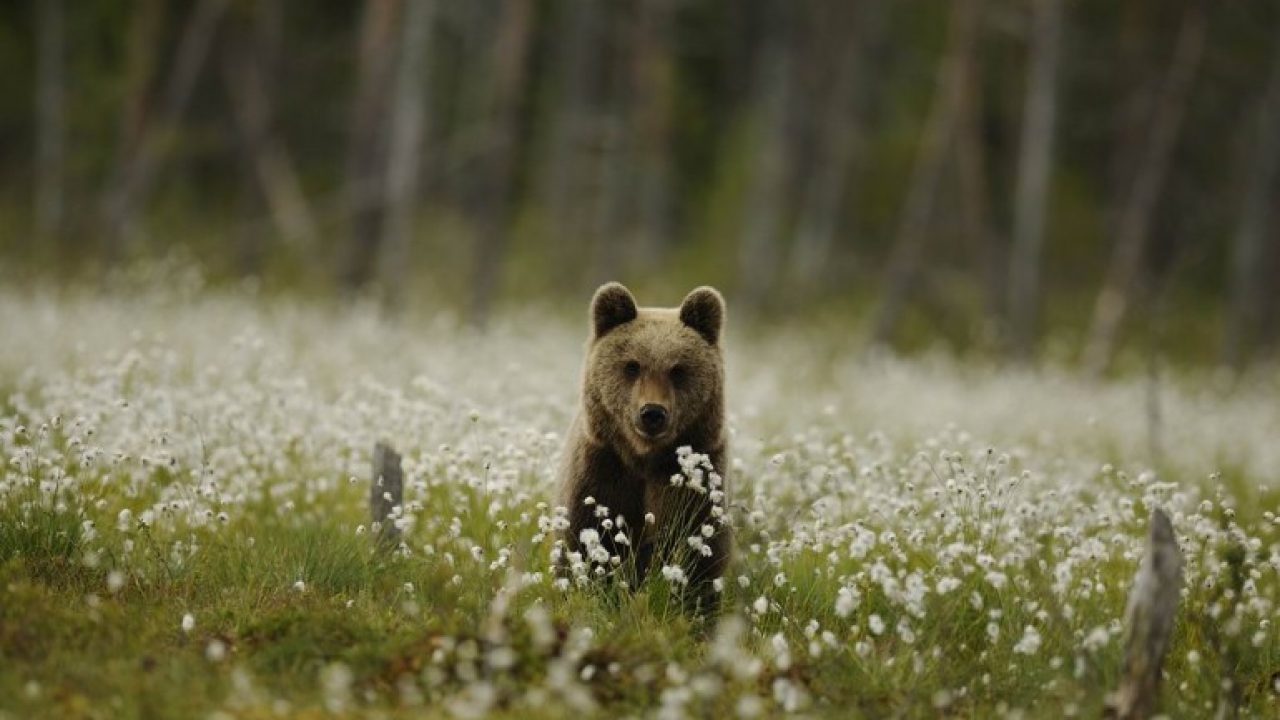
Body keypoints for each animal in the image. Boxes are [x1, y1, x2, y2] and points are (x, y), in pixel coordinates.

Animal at [558, 280, 732, 609]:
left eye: (678, 369)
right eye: (632, 366)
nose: (652, 413)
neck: (644, 458)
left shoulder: (695, 479)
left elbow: (697, 551)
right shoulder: (602, 470)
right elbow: (587, 539)